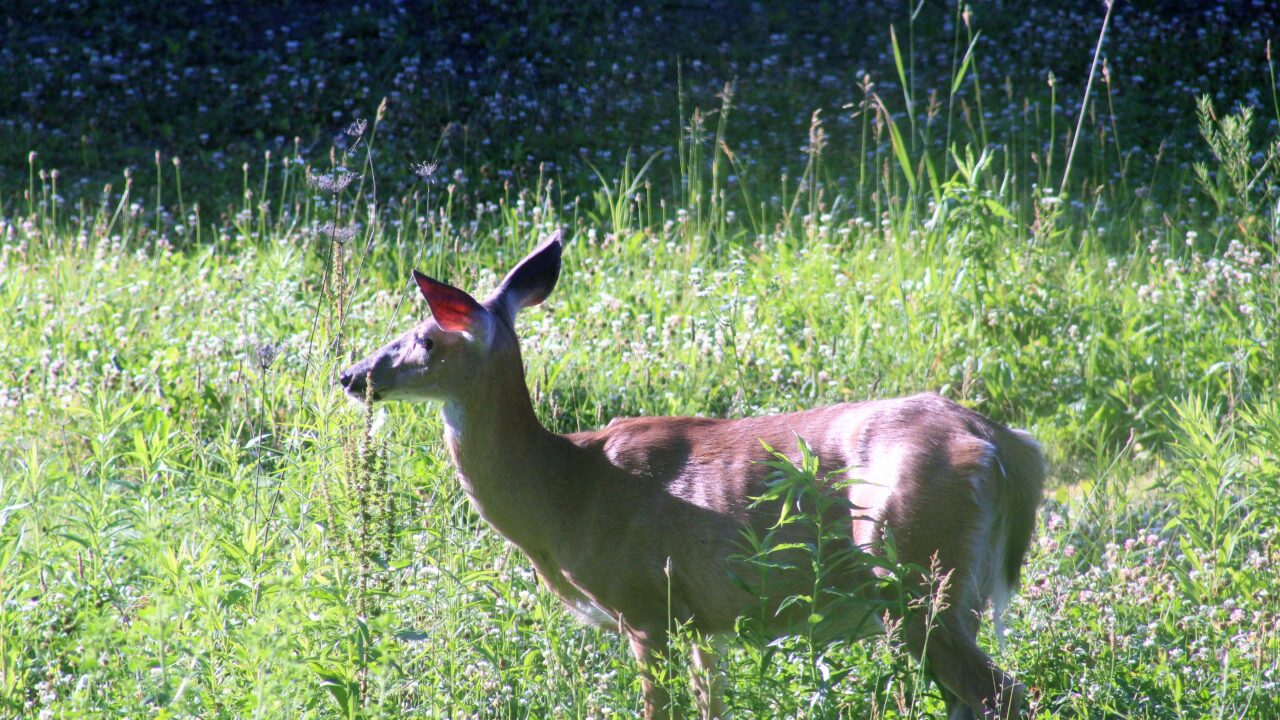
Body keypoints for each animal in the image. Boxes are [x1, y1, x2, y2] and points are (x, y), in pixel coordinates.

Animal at [343, 230, 1049, 717]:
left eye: (424, 338)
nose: (351, 374)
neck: (565, 494)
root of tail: (1004, 447)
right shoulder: (706, 622)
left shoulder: (645, 603)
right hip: (952, 591)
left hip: (914, 573)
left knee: (1005, 695)